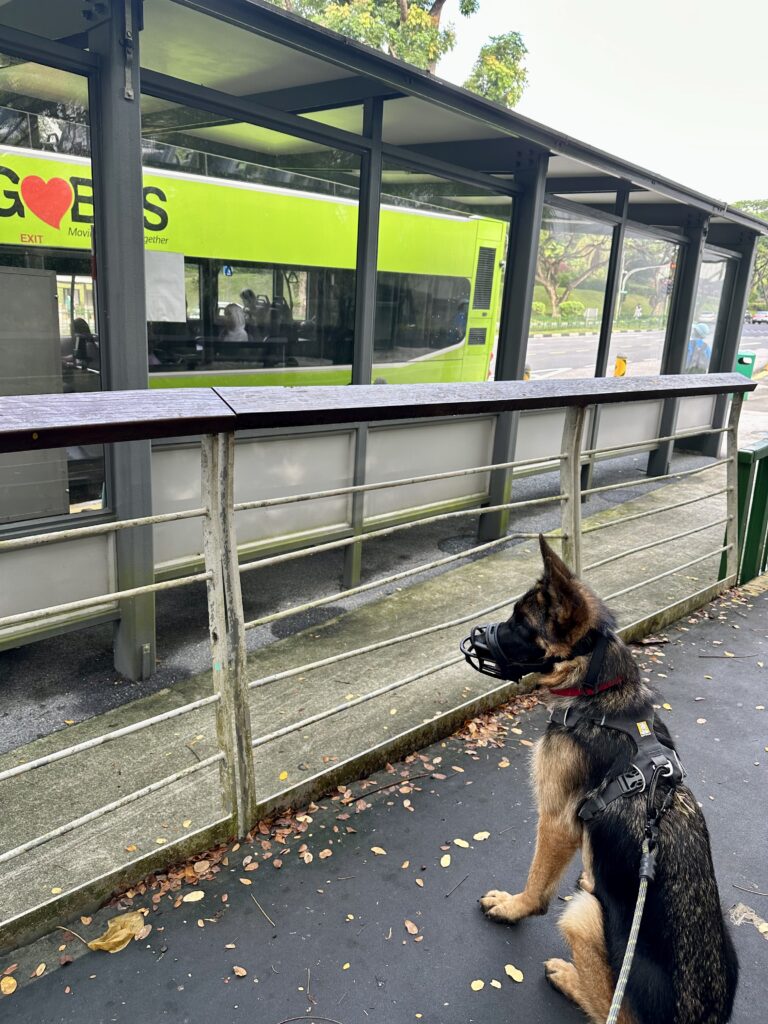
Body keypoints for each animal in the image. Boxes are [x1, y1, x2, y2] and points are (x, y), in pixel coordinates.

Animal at [481, 536, 741, 1024]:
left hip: (581, 920)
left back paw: (568, 977)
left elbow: (537, 885)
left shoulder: (557, 822)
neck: (600, 690)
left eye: (520, 623)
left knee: (608, 1009)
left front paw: (512, 907)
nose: (473, 640)